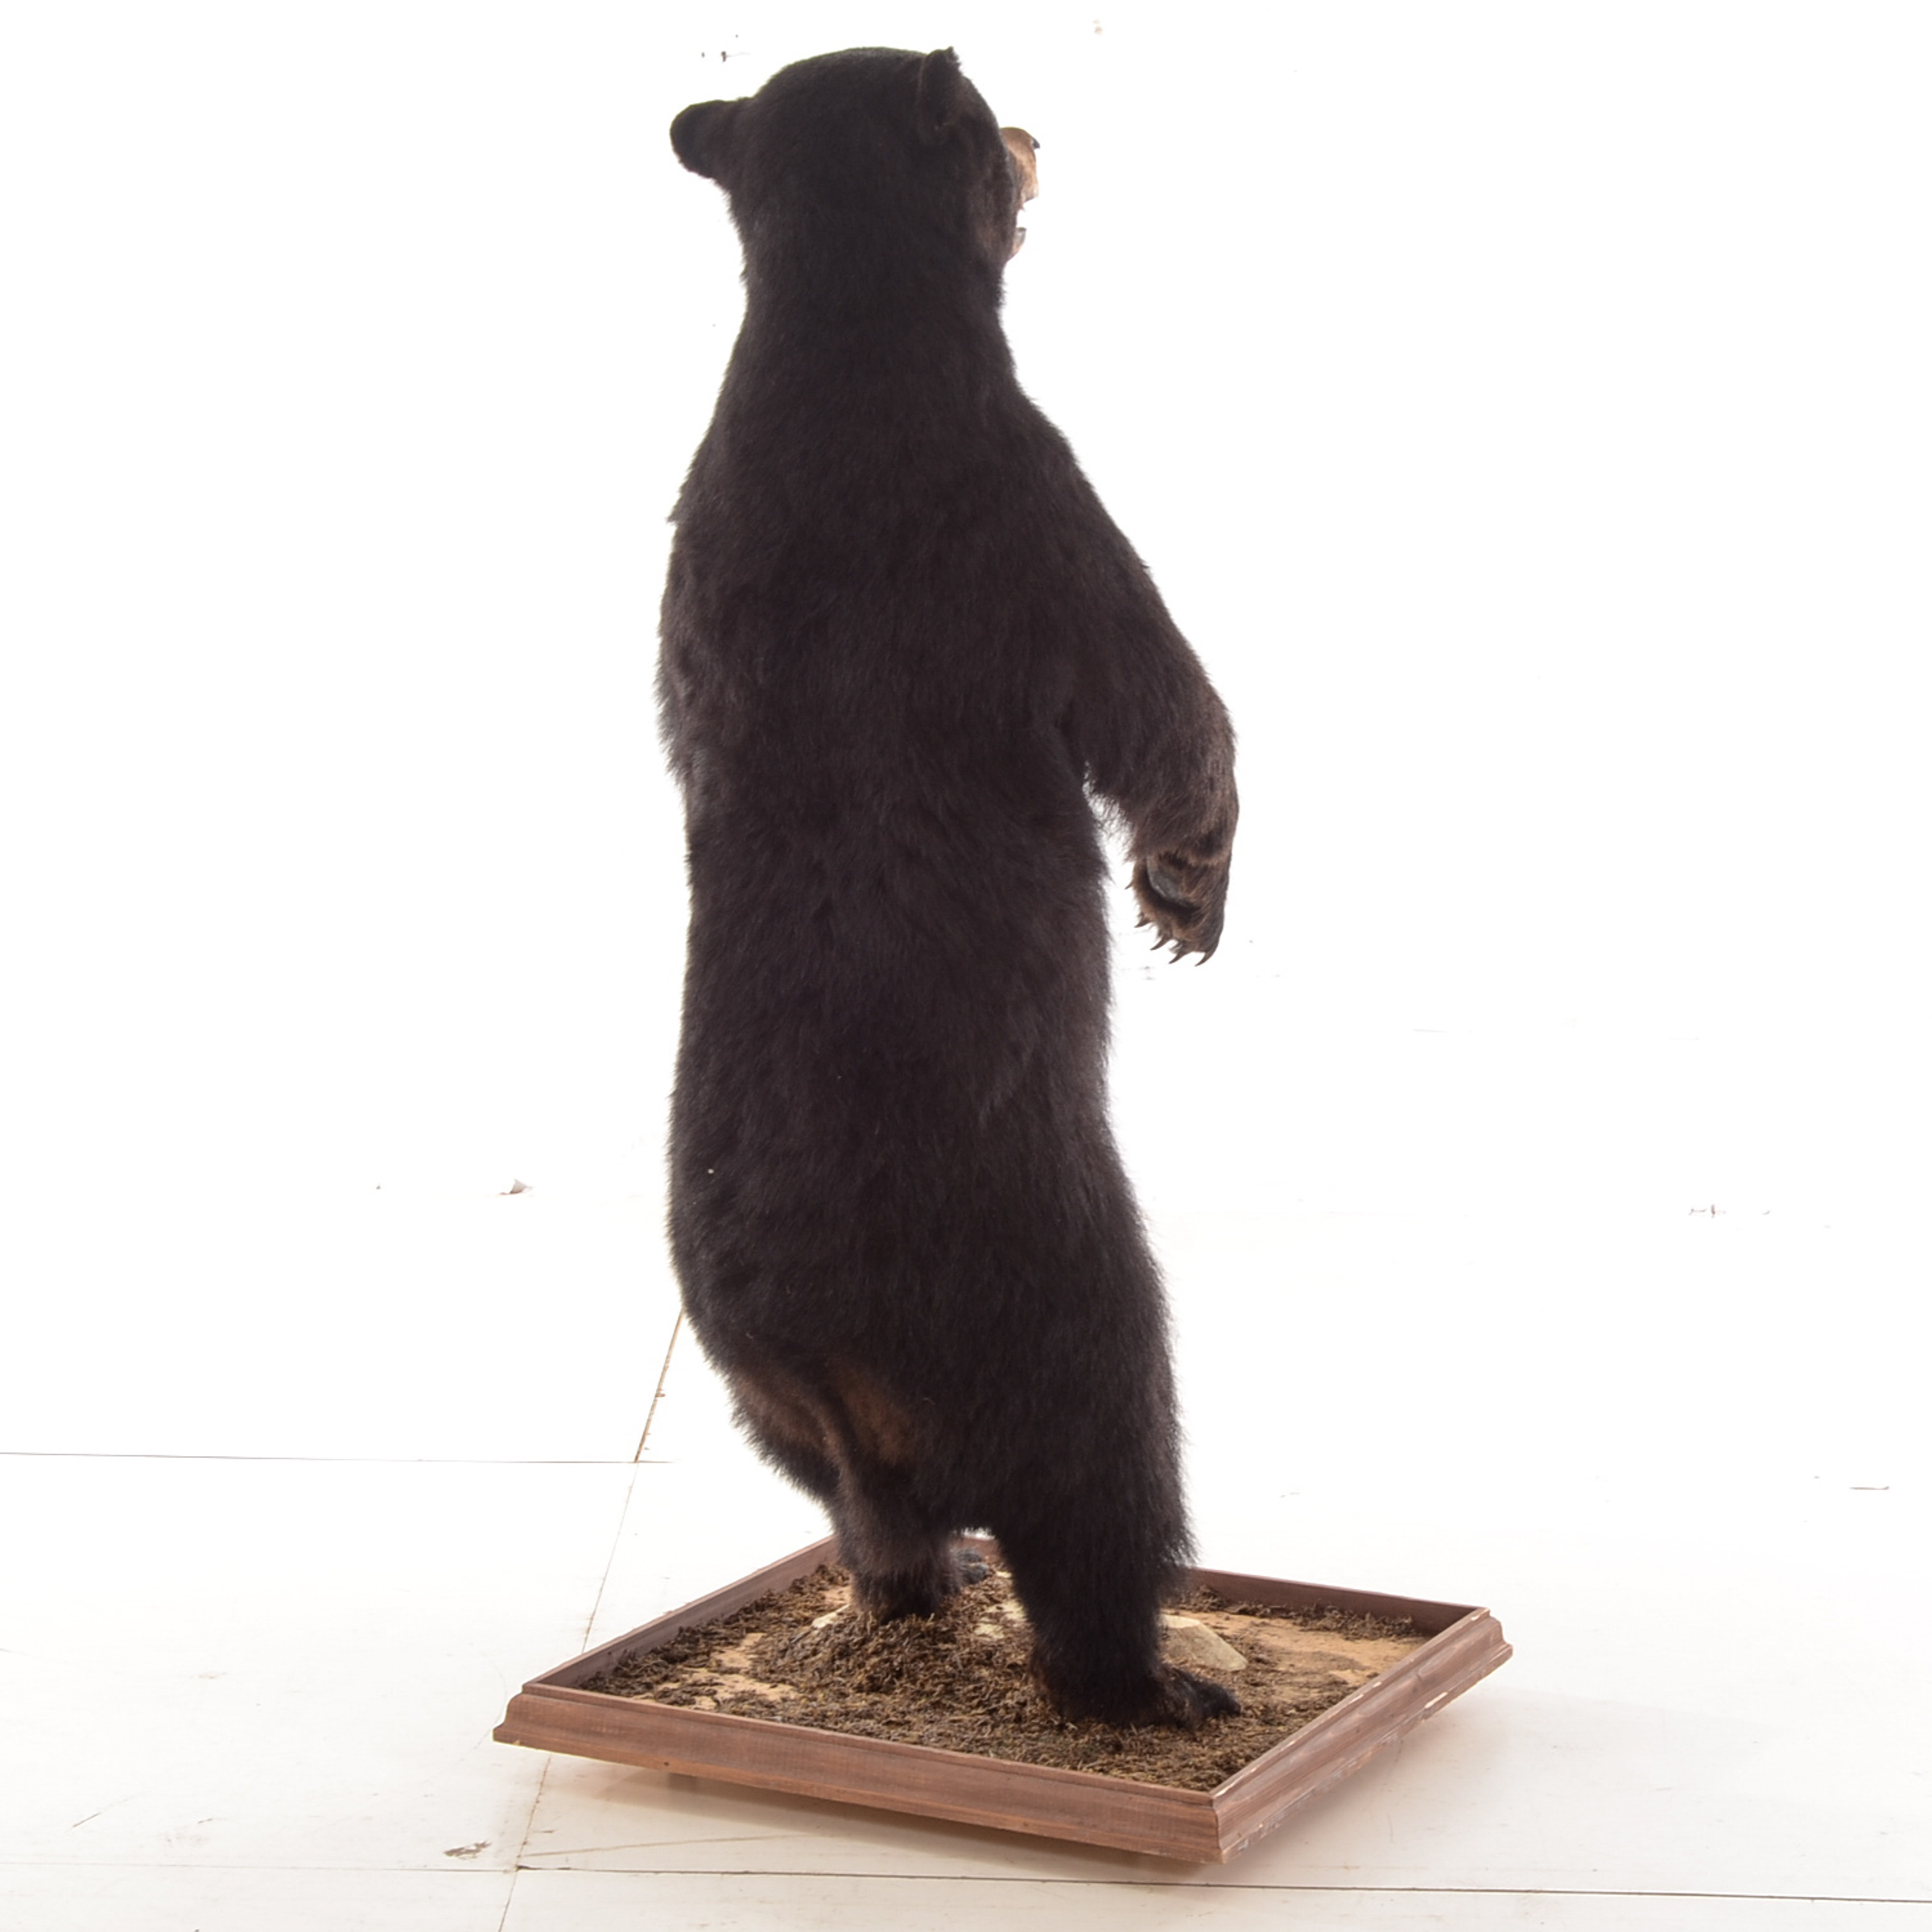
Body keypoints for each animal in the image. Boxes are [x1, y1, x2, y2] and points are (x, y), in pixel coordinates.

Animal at [659, 47, 1238, 1728]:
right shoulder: (1026, 498)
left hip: (759, 1405)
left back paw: (919, 1584)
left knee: (862, 1516)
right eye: (987, 118)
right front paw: (1189, 891)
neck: (845, 340)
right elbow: (1160, 699)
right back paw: (1152, 1682)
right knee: (1102, 1499)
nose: (1040, 132)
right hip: (1070, 1321)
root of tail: (830, 1359)